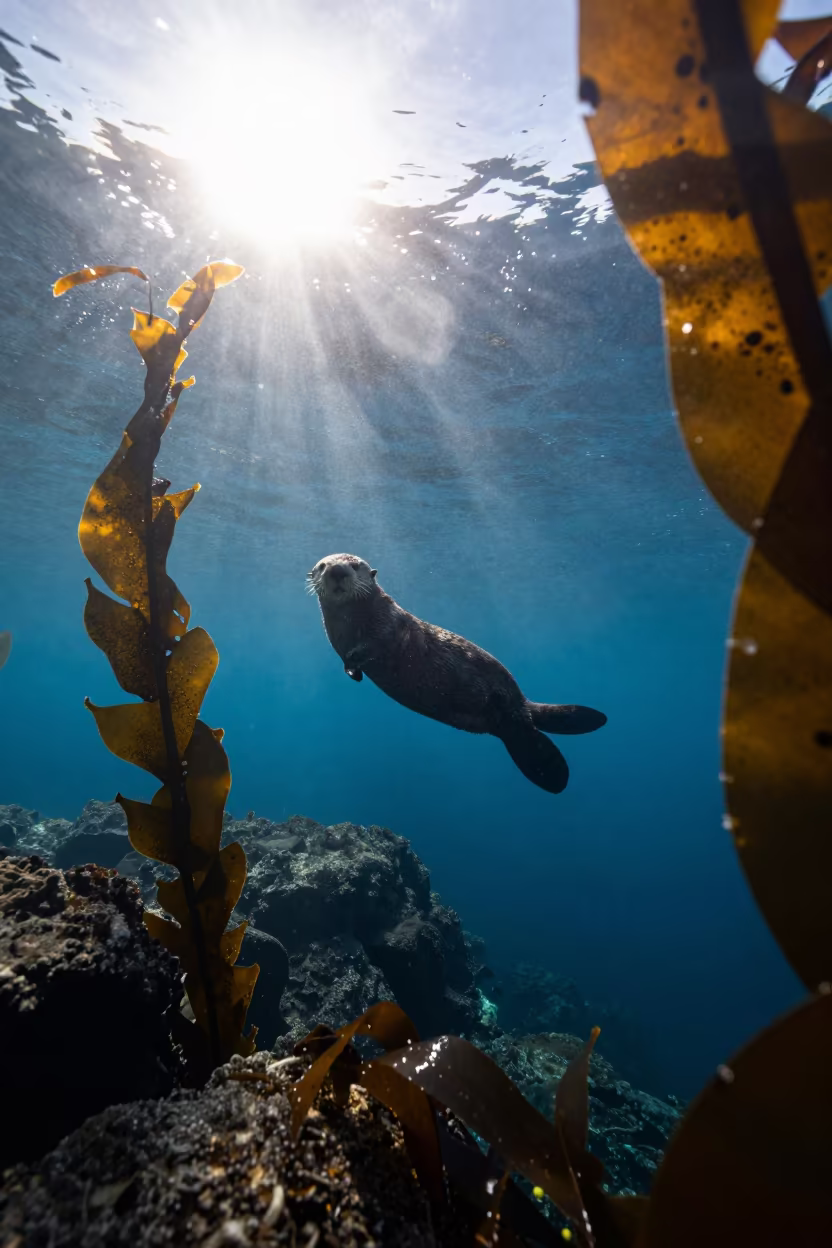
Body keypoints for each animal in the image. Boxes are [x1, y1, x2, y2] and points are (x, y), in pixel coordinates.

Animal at [307, 553, 606, 794]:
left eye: (356, 565)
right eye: (322, 565)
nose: (337, 570)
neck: (352, 626)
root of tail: (522, 701)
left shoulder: (388, 626)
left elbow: (375, 645)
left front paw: (357, 662)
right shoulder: (339, 643)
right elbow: (348, 660)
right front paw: (353, 672)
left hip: (507, 703)